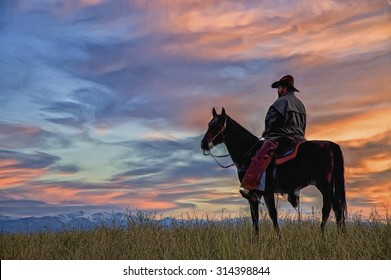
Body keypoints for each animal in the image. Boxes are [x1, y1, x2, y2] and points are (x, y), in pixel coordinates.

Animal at [201, 107, 348, 234]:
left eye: (218, 125)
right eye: (209, 124)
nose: (203, 143)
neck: (249, 153)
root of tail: (330, 145)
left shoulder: (265, 192)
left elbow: (271, 215)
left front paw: (276, 238)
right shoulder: (259, 194)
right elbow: (256, 218)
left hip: (324, 184)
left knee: (329, 208)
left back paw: (323, 234)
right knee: (337, 207)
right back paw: (341, 234)